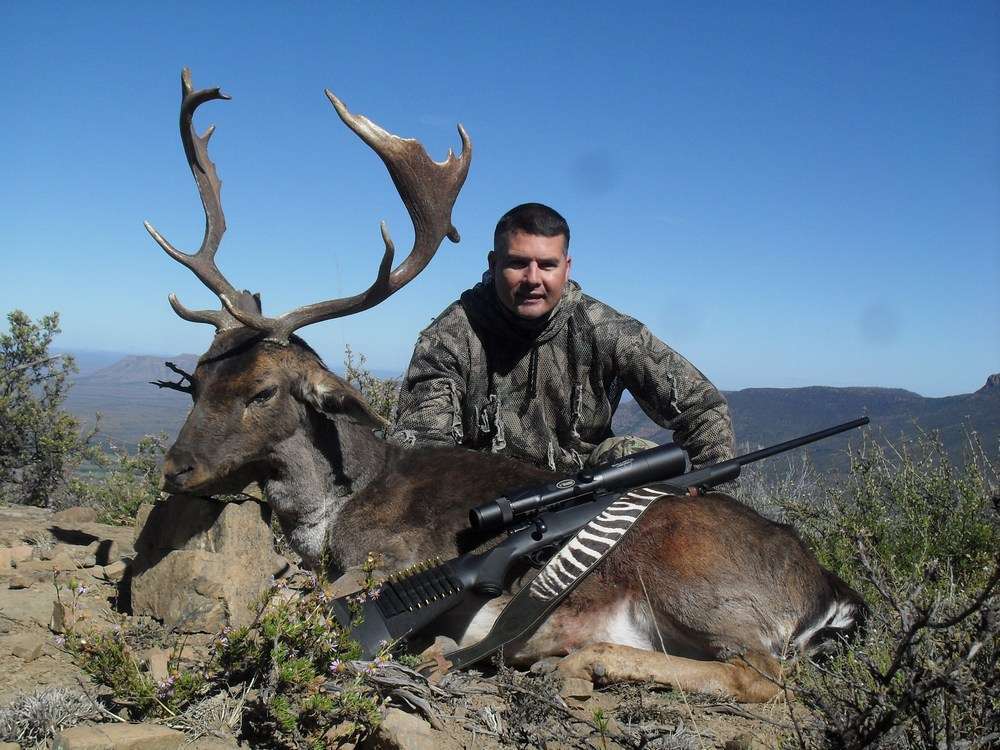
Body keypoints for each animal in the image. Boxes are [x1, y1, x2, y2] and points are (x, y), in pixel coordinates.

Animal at [148, 69, 866, 703]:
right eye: (198, 379)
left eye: (262, 391)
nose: (174, 468)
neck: (336, 508)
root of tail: (830, 592)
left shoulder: (392, 557)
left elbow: (290, 603)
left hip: (697, 584)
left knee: (762, 677)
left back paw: (576, 661)